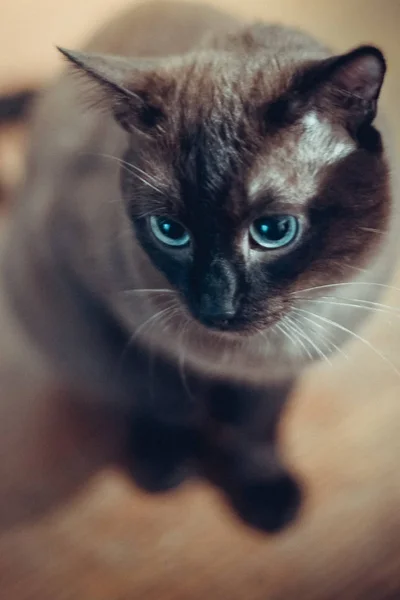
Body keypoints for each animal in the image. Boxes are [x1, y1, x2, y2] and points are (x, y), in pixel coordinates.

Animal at [0, 0, 394, 536]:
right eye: (170, 230)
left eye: (274, 231)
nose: (215, 306)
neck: (238, 358)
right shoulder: (131, 330)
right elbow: (164, 400)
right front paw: (168, 467)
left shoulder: (285, 364)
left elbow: (256, 429)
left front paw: (265, 498)